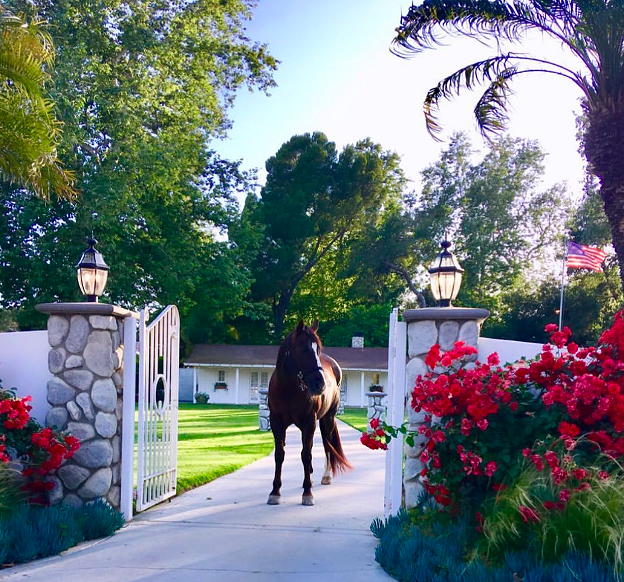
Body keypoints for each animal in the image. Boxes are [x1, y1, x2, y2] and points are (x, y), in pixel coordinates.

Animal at [266, 322, 352, 508]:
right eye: (304, 349)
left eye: (318, 349)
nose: (320, 384)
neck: (288, 388)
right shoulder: (276, 423)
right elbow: (279, 455)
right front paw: (275, 492)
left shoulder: (309, 423)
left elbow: (306, 455)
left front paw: (307, 494)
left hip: (327, 419)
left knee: (327, 444)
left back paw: (325, 476)